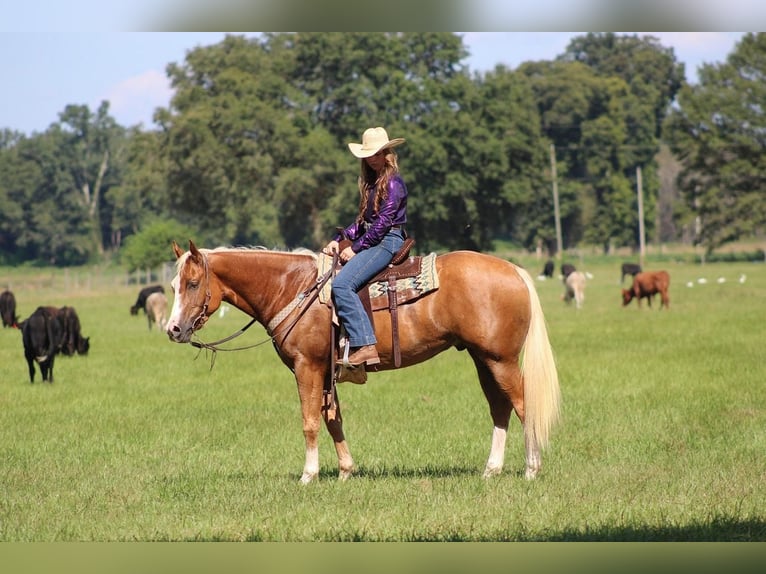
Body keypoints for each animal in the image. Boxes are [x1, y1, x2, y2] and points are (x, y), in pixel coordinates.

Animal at [165, 241, 560, 484]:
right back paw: (492, 470)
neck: (293, 288)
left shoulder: (307, 367)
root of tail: (515, 270)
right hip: (484, 359)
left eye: (193, 283)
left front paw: (308, 475)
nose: (173, 329)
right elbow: (333, 419)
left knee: (523, 405)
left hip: (501, 359)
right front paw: (345, 470)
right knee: (500, 407)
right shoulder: (326, 370)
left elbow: (310, 421)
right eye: (172, 285)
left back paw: (532, 469)